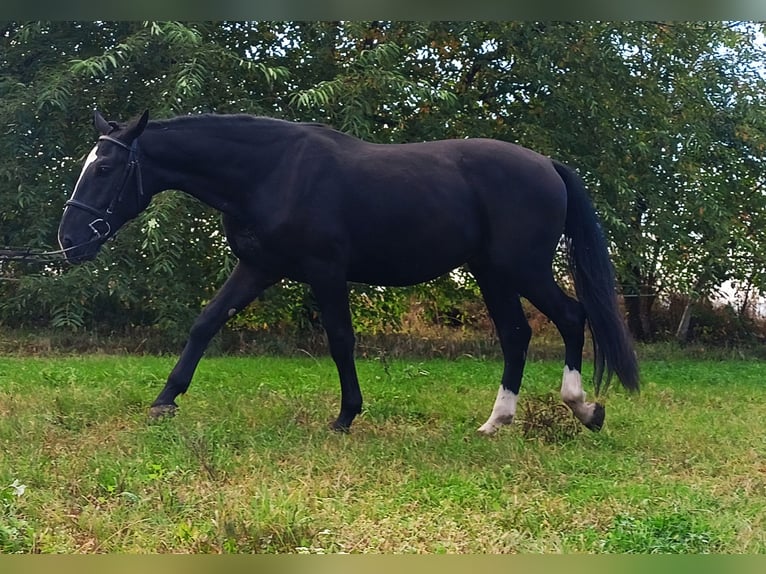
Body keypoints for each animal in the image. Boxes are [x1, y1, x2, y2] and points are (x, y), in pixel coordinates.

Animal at [57, 111, 640, 436]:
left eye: (105, 168)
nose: (69, 239)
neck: (271, 172)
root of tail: (548, 166)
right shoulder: (259, 266)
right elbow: (206, 322)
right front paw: (165, 401)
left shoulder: (325, 271)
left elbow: (340, 339)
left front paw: (345, 416)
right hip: (491, 273)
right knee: (516, 336)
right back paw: (497, 422)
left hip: (522, 268)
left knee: (572, 317)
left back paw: (583, 408)